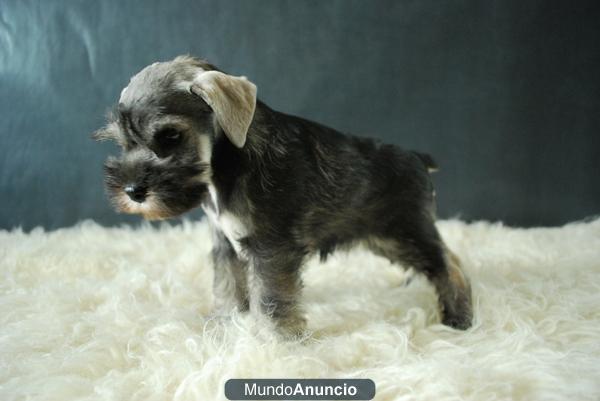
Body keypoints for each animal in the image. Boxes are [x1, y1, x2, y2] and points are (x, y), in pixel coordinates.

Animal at [95, 54, 474, 334]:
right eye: (124, 143)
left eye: (171, 136)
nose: (133, 191)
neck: (225, 166)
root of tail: (418, 159)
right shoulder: (225, 245)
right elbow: (228, 287)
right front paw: (225, 326)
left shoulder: (271, 248)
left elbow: (271, 297)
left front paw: (276, 343)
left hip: (405, 232)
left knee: (450, 263)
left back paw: (459, 318)